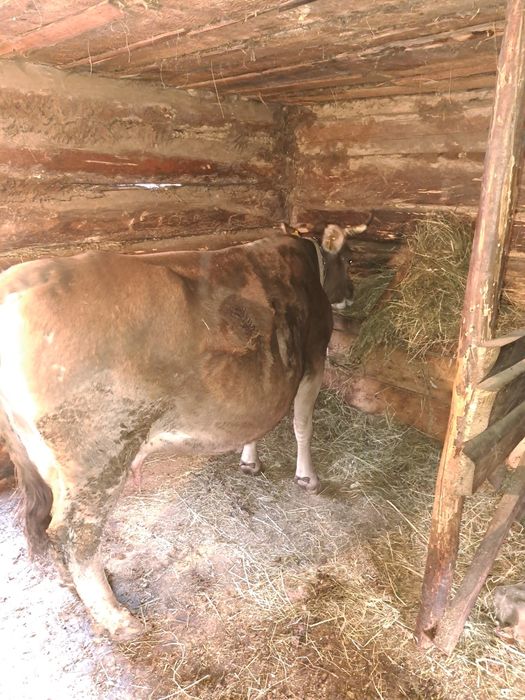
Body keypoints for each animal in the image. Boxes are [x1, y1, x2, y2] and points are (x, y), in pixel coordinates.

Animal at [0, 221, 366, 640]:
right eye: (350, 259)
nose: (353, 293)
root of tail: (16, 282)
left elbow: (257, 422)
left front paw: (249, 461)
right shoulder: (314, 356)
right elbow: (302, 423)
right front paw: (307, 477)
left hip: (35, 454)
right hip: (98, 460)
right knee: (74, 538)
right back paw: (117, 618)